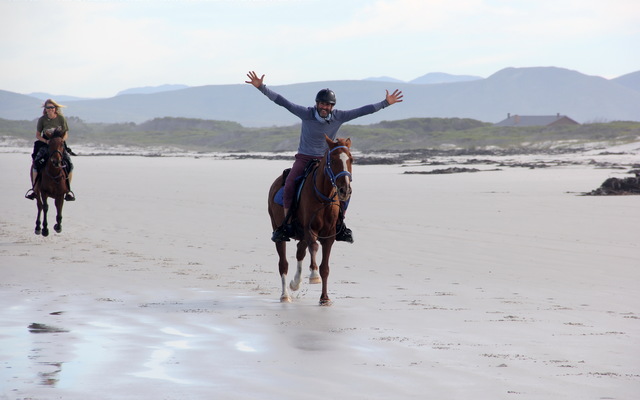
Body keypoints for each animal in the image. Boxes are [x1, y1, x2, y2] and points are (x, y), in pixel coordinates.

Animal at [268, 136, 353, 306]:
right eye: (334, 161)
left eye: (351, 160)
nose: (345, 190)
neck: (323, 197)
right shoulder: (309, 229)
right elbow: (314, 247)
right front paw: (314, 275)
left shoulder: (329, 236)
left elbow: (325, 267)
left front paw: (324, 298)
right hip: (278, 229)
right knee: (283, 263)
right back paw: (285, 295)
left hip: (301, 235)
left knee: (300, 251)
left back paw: (296, 282)